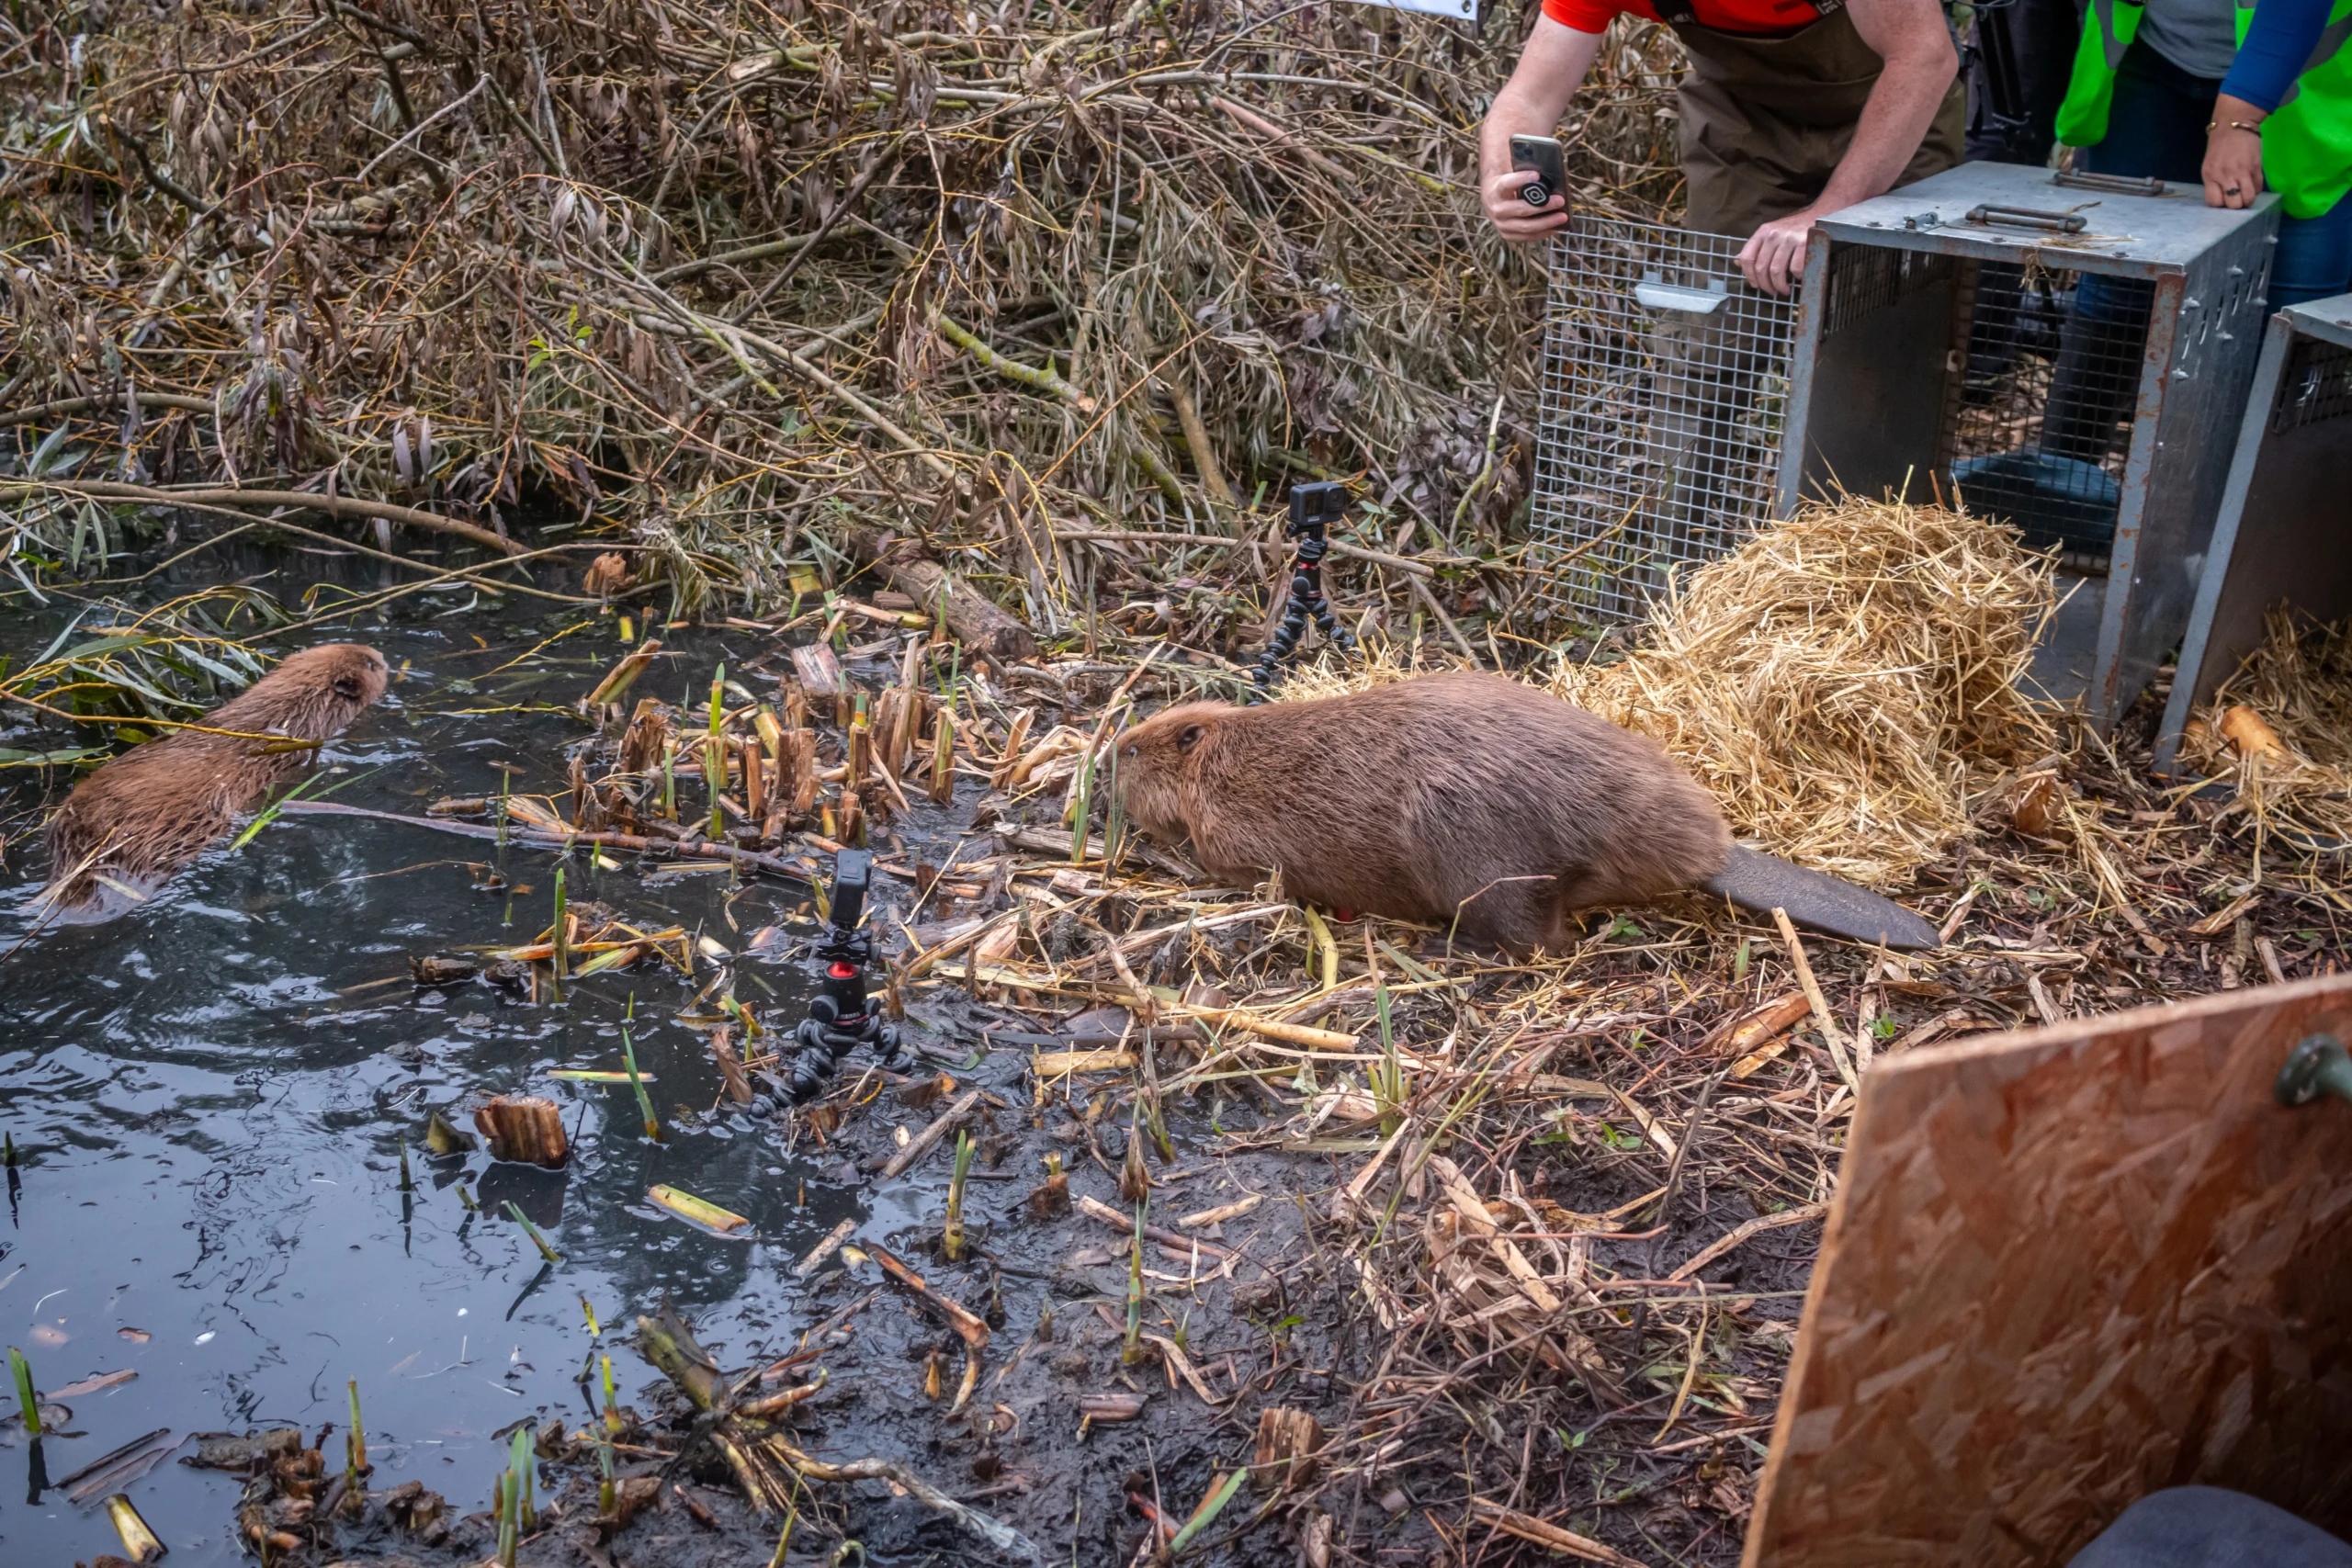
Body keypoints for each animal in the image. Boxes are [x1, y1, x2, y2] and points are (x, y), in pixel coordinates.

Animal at [1110, 667, 1938, 949]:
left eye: (1145, 748)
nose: (1114, 747)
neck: (1233, 755)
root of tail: (1718, 856)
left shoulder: (1239, 834)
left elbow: (1237, 870)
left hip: (1476, 854)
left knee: (1541, 938)